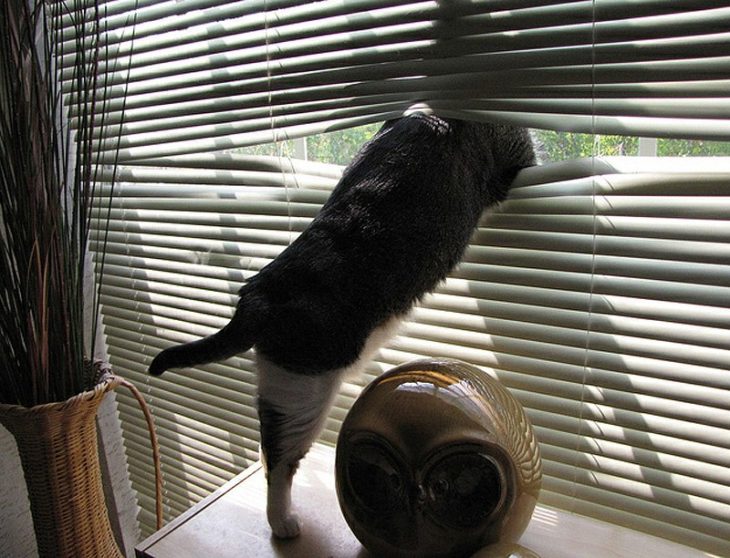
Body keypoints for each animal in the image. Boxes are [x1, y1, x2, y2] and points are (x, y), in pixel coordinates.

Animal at [149, 112, 536, 540]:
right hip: (305, 391)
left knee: (267, 447)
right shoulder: (516, 155)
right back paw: (283, 522)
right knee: (281, 460)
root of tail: (256, 294)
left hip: (280, 382)